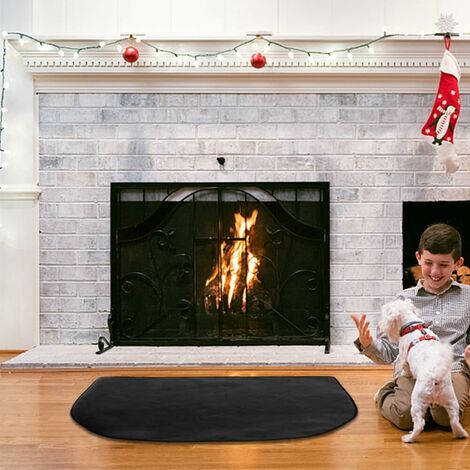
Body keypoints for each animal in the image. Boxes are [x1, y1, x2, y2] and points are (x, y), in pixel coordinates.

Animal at [380, 300, 468, 442]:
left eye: (386, 311)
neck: (412, 325)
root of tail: (436, 377)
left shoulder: (404, 356)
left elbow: (405, 368)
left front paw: (404, 374)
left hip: (417, 401)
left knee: (420, 424)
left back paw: (409, 438)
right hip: (451, 400)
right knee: (454, 420)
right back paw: (461, 434)